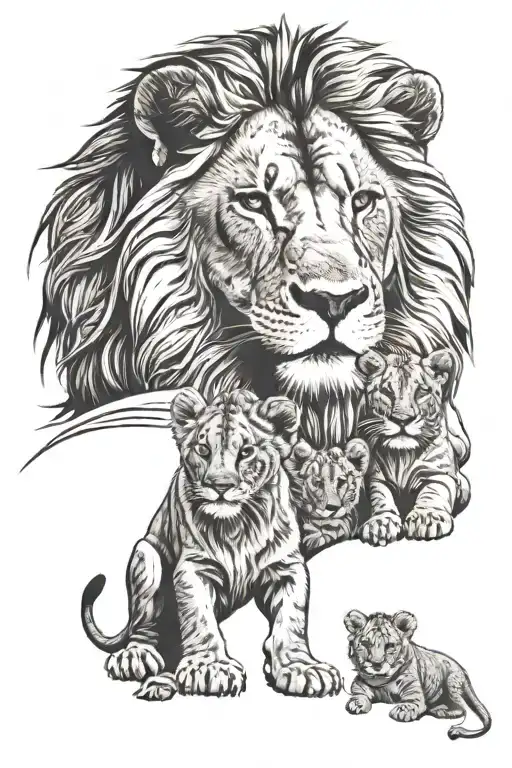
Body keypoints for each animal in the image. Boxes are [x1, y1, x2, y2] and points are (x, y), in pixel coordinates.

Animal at [81, 388, 341, 700]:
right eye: (203, 450)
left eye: (246, 452)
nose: (220, 486)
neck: (239, 525)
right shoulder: (194, 567)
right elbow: (200, 618)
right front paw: (210, 668)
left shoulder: (287, 568)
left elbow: (291, 620)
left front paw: (301, 668)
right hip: (146, 555)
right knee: (143, 625)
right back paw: (136, 657)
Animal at [344, 610, 491, 740]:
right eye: (365, 644)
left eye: (390, 646)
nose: (376, 664)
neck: (380, 681)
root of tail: (463, 671)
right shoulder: (358, 684)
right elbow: (359, 693)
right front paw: (356, 703)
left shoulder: (414, 693)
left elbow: (411, 702)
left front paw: (402, 710)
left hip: (451, 682)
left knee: (462, 708)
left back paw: (440, 710)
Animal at [355, 347, 470, 546]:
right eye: (386, 392)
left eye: (421, 391)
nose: (402, 420)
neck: (402, 456)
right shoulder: (376, 478)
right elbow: (380, 496)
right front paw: (381, 523)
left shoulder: (439, 473)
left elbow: (434, 491)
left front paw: (426, 518)